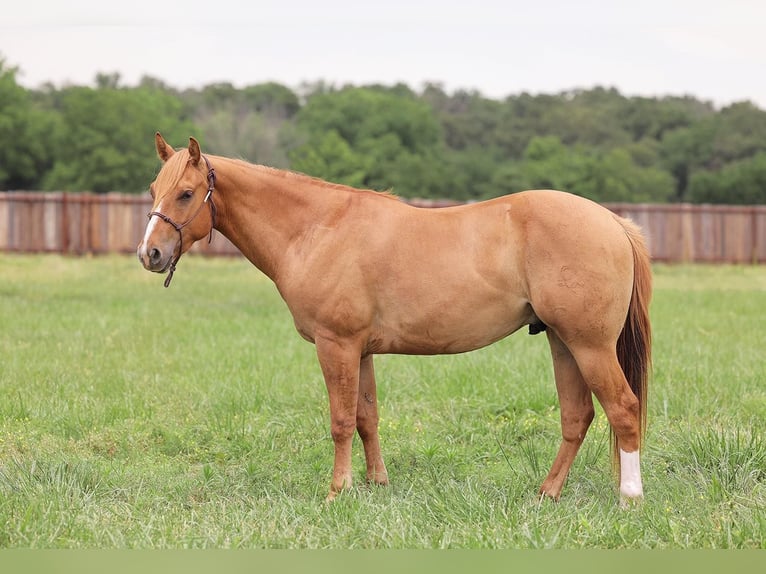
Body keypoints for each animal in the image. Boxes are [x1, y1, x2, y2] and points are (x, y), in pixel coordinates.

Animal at [138, 133, 656, 506]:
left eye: (186, 193)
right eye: (154, 190)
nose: (150, 254)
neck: (319, 228)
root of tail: (613, 222)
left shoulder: (337, 345)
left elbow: (341, 420)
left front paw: (338, 491)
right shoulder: (361, 350)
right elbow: (367, 417)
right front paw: (376, 484)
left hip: (589, 345)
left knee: (623, 409)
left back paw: (630, 497)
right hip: (562, 342)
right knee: (578, 416)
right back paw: (546, 494)